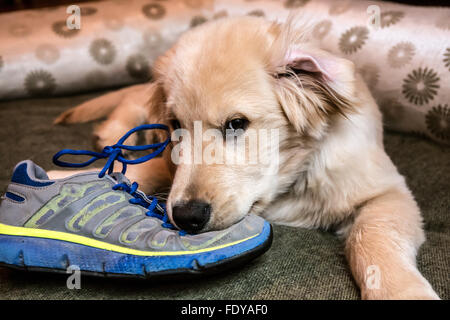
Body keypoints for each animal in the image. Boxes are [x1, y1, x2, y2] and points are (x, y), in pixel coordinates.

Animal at [51, 16, 438, 298]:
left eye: (237, 124)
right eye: (176, 125)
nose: (187, 217)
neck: (292, 177)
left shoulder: (386, 191)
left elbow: (371, 236)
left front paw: (402, 290)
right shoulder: (166, 161)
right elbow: (139, 171)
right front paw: (63, 180)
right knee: (127, 106)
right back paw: (112, 134)